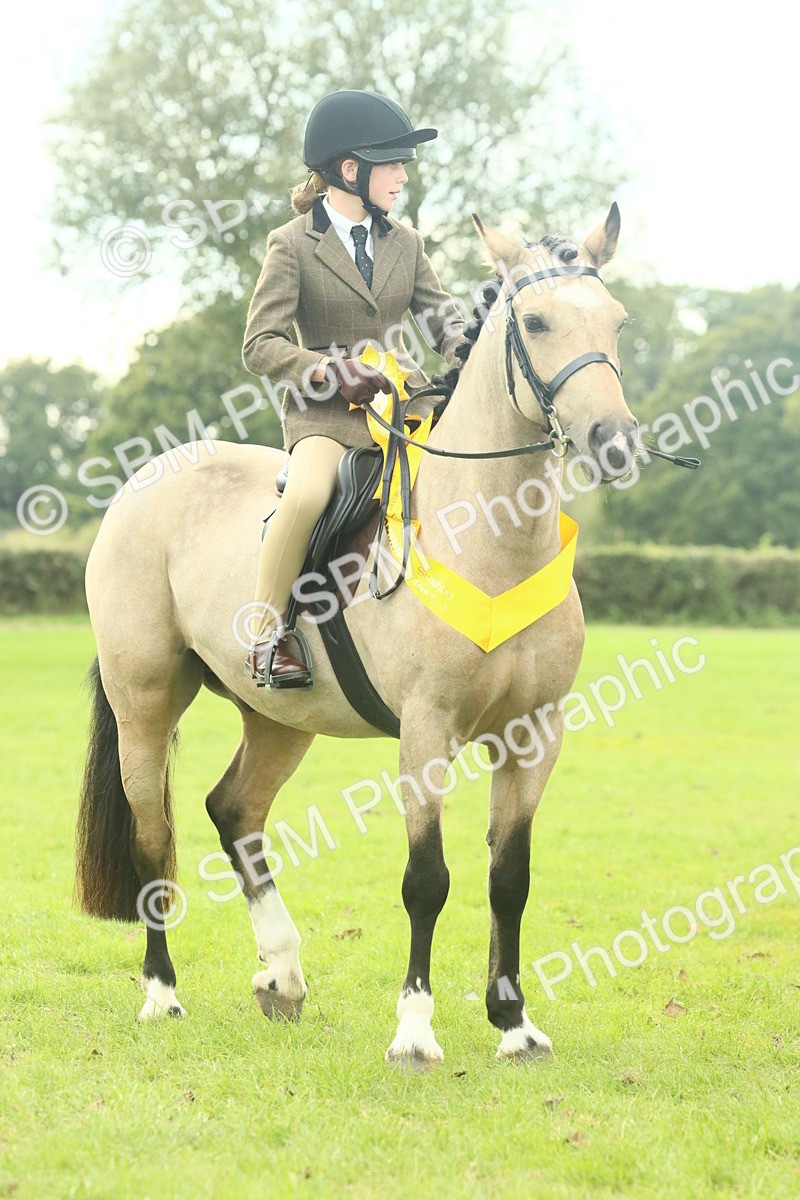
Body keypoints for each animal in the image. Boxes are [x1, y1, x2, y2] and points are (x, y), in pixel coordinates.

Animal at [76, 205, 637, 1067]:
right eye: (537, 321)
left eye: (617, 321)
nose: (615, 440)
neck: (492, 534)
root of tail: (143, 482)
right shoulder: (427, 731)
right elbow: (427, 880)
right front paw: (414, 1032)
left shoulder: (533, 733)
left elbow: (509, 877)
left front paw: (514, 1025)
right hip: (144, 699)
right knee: (151, 833)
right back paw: (162, 995)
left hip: (278, 718)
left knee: (233, 811)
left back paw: (282, 976)